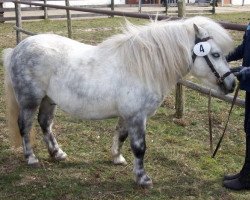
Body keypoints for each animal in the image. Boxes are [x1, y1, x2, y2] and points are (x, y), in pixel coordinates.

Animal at [2, 16, 235, 188]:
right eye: (215, 54)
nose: (232, 83)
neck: (142, 67)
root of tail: (17, 49)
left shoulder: (128, 115)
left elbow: (121, 136)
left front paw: (117, 158)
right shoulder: (137, 117)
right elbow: (139, 148)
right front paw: (142, 178)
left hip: (49, 99)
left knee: (45, 124)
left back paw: (57, 153)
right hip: (30, 101)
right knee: (25, 127)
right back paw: (31, 158)